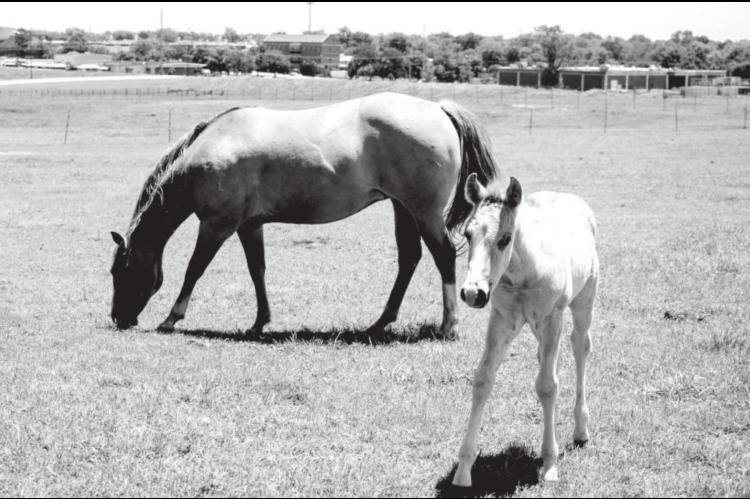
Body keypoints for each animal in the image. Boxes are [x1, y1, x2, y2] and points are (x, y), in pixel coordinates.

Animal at [109, 92, 501, 338]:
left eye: (118, 271)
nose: (118, 318)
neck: (215, 145)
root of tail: (438, 108)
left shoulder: (217, 225)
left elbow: (194, 269)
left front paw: (171, 318)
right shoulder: (249, 226)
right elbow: (257, 270)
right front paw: (259, 322)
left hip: (423, 212)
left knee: (443, 256)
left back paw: (449, 325)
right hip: (403, 208)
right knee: (410, 258)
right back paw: (379, 323)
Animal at [452, 173, 599, 486]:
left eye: (505, 239)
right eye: (467, 234)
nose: (472, 293)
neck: (522, 273)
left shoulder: (551, 318)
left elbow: (547, 385)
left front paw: (550, 464)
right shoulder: (501, 319)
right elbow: (482, 380)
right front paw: (463, 469)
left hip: (584, 302)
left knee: (580, 346)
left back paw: (581, 429)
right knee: (545, 356)